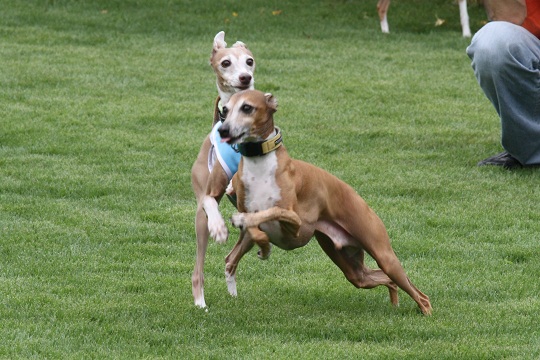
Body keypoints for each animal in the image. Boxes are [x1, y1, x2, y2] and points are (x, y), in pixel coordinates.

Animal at [217, 90, 432, 316]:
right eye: (225, 110)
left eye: (247, 108)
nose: (223, 130)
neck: (260, 164)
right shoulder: (249, 223)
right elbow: (248, 236)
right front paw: (263, 245)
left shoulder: (295, 224)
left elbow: (272, 211)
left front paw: (256, 236)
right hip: (353, 268)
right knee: (386, 280)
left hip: (384, 256)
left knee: (420, 295)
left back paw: (425, 312)